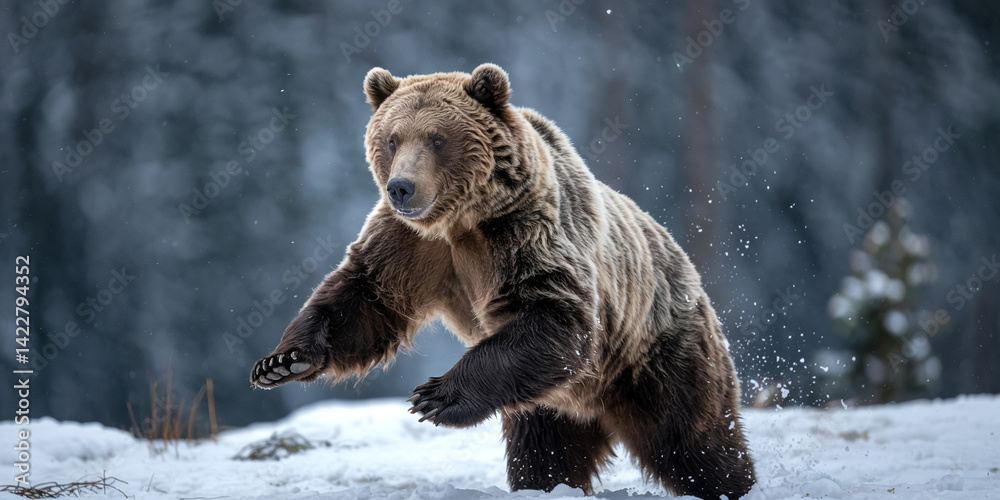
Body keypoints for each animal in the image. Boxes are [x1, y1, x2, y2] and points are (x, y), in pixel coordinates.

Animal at [251, 63, 756, 499]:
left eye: (437, 138)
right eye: (392, 139)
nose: (401, 188)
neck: (458, 222)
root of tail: (689, 271)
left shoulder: (524, 234)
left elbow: (556, 315)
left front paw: (435, 396)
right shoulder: (410, 246)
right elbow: (366, 296)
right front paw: (283, 361)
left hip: (656, 353)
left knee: (694, 441)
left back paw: (732, 482)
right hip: (548, 402)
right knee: (545, 454)